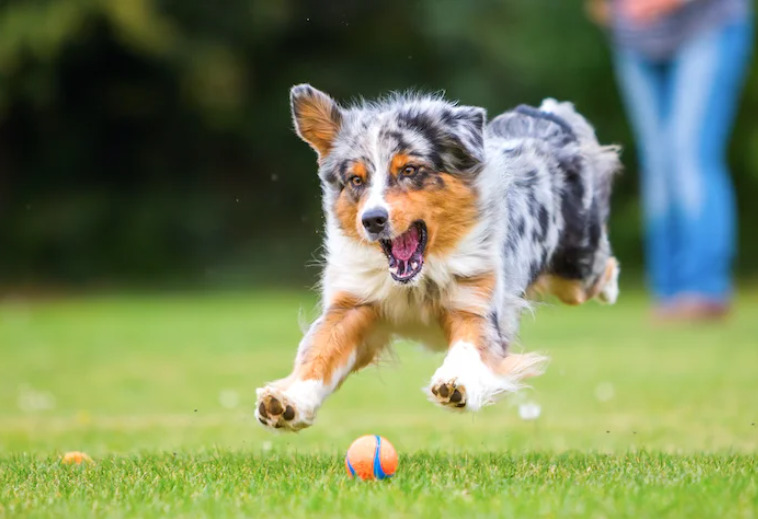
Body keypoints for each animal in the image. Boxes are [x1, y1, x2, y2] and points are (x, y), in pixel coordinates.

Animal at [255, 85, 624, 432]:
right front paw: (287, 400)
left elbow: (470, 346)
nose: (372, 220)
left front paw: (456, 382)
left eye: (409, 170)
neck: (417, 281)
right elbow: (319, 350)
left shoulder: (475, 301)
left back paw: (611, 289)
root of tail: (547, 115)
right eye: (356, 179)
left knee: (602, 268)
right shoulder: (352, 305)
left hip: (577, 268)